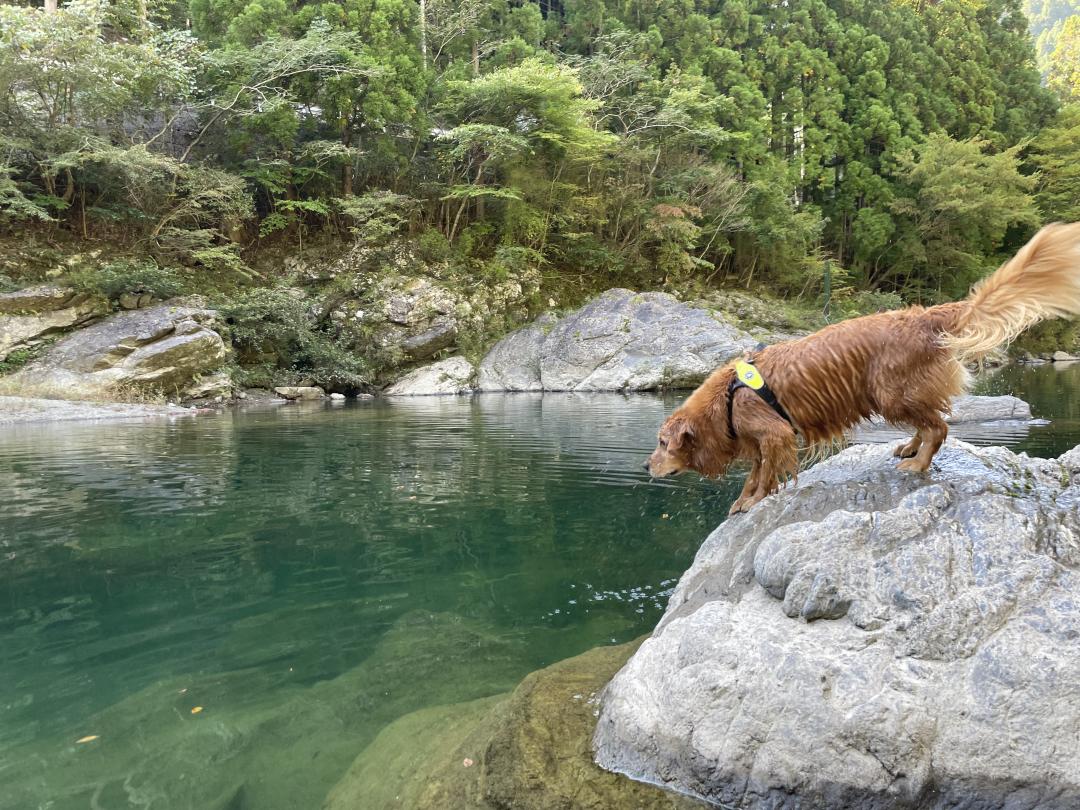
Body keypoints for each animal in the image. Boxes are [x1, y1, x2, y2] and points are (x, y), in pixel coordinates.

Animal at [643, 222, 1080, 514]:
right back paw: (909, 446)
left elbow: (766, 475)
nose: (646, 465)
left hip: (890, 392)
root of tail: (926, 314)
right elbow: (755, 473)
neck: (728, 398)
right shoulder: (762, 442)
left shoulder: (775, 434)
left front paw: (752, 501)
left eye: (663, 443)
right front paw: (743, 499)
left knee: (939, 426)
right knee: (928, 422)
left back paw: (917, 463)